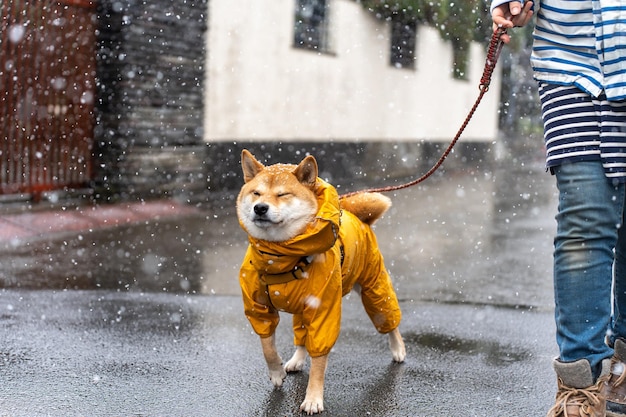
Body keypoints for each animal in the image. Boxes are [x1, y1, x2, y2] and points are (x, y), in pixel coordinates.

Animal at [235, 149, 404, 412]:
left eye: (282, 194)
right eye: (256, 193)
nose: (259, 208)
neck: (280, 257)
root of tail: (359, 217)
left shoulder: (324, 308)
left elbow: (319, 361)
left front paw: (313, 398)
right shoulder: (258, 307)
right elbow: (267, 346)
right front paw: (276, 373)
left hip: (373, 285)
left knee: (388, 317)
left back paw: (398, 349)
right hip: (303, 307)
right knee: (302, 337)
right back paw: (296, 360)